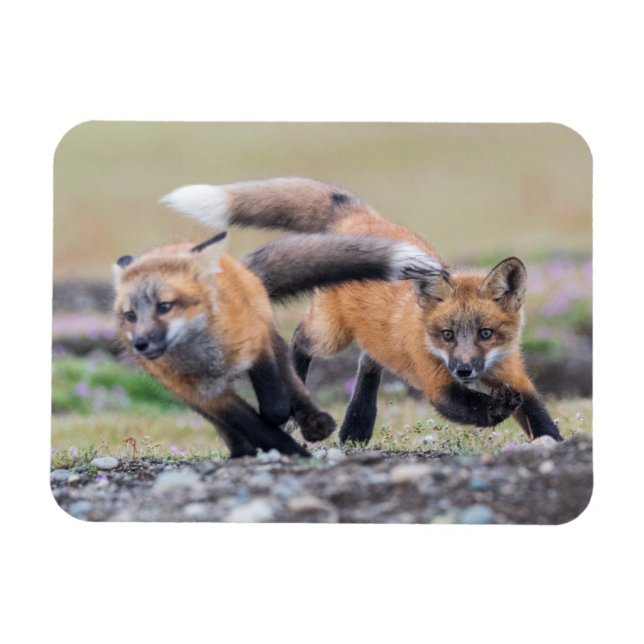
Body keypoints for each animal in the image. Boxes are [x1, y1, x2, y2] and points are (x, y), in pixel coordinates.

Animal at [113, 227, 445, 457]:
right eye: (130, 315)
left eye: (165, 306)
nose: (140, 343)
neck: (207, 357)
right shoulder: (207, 394)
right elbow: (250, 424)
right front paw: (283, 448)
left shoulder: (257, 343)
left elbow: (274, 402)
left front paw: (287, 426)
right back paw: (242, 450)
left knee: (294, 373)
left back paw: (314, 421)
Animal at [161, 176, 564, 444]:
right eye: (446, 335)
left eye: (485, 333)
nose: (464, 369)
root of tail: (362, 218)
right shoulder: (437, 382)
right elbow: (470, 408)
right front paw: (496, 410)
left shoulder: (513, 373)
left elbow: (538, 415)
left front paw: (554, 444)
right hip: (330, 335)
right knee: (300, 340)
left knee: (369, 363)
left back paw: (356, 427)